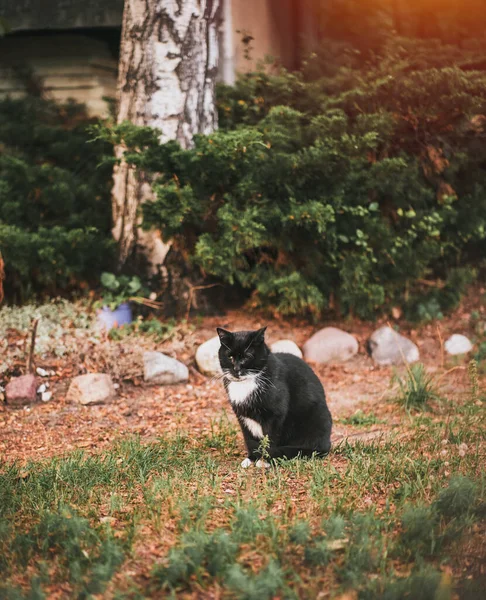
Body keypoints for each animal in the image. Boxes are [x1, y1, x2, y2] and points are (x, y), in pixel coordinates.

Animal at [218, 326, 332, 466]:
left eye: (248, 356)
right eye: (230, 357)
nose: (236, 369)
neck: (247, 382)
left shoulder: (275, 416)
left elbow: (271, 440)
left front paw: (265, 461)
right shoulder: (242, 416)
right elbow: (249, 439)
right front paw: (251, 458)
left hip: (317, 418)